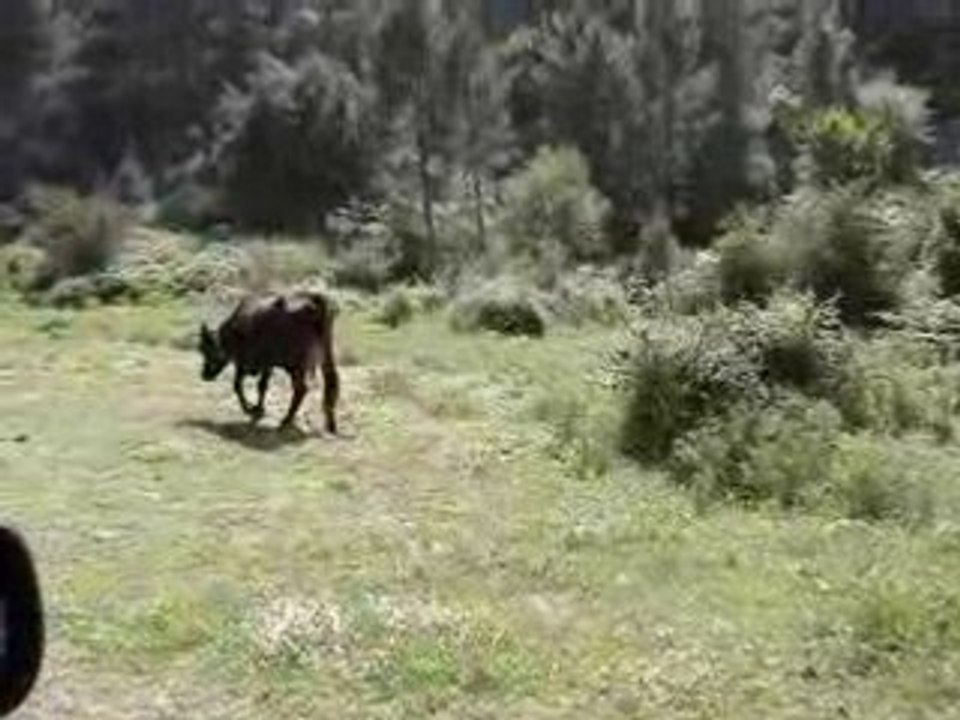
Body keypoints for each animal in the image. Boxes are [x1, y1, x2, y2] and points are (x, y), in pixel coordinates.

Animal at [198, 291, 339, 433]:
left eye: (206, 349)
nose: (204, 375)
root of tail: (312, 298)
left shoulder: (244, 361)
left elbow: (238, 385)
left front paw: (249, 409)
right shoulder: (267, 364)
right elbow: (262, 386)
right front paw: (258, 408)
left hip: (295, 365)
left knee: (301, 389)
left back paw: (286, 420)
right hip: (325, 357)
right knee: (330, 383)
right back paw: (330, 424)